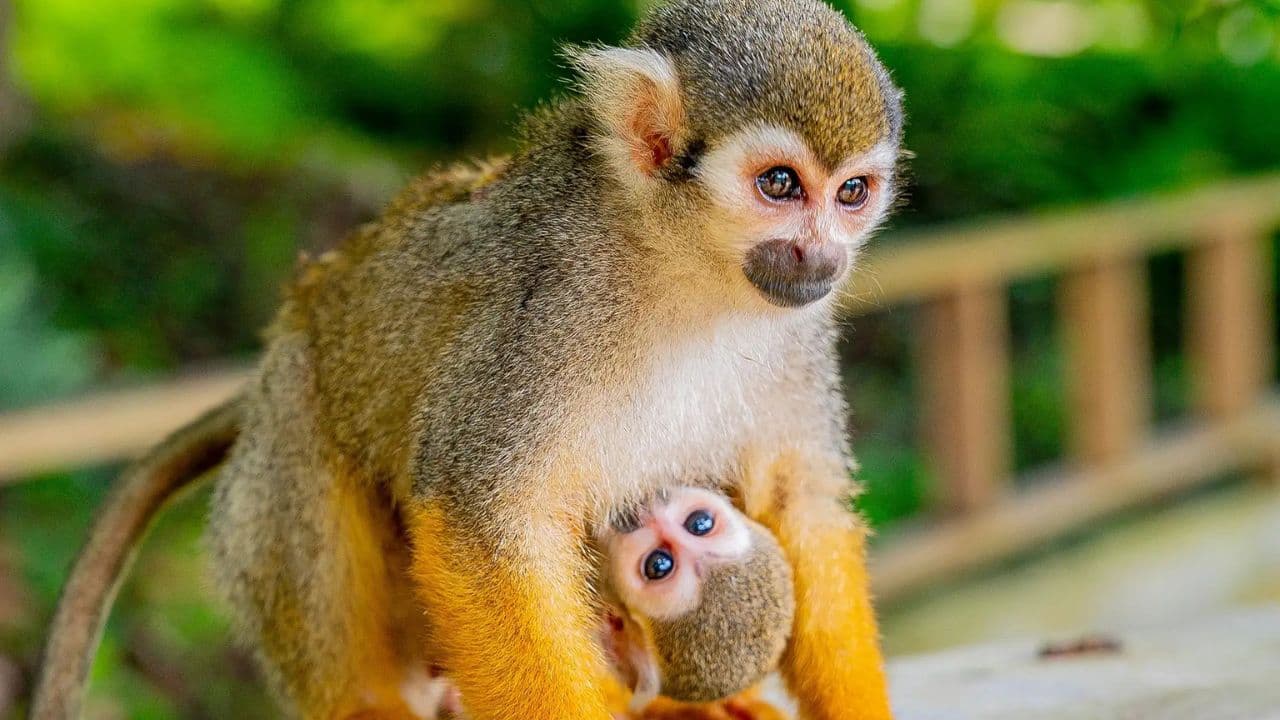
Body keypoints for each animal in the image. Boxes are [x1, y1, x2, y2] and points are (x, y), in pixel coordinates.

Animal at [34, 0, 904, 718]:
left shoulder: (798, 330)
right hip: (295, 389)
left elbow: (802, 501)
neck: (685, 269)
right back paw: (366, 705)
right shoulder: (540, 312)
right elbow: (477, 521)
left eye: (851, 193)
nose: (822, 256)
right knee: (308, 464)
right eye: (781, 184)